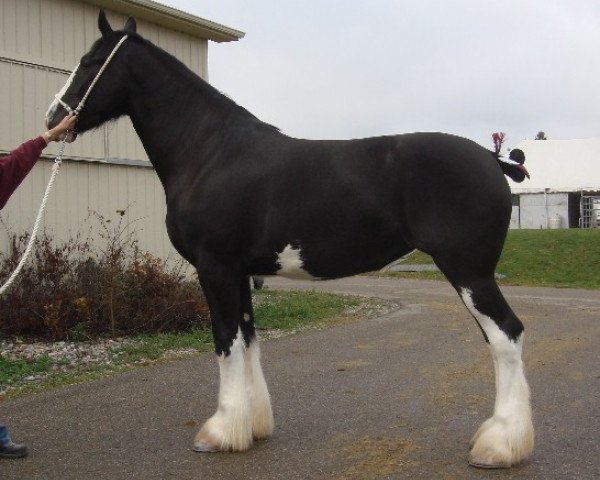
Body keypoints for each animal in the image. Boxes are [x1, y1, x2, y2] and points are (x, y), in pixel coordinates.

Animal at [47, 12, 536, 468]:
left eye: (90, 62)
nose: (53, 118)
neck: (210, 152)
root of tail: (492, 159)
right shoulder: (240, 273)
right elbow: (248, 338)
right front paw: (252, 425)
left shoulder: (215, 267)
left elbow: (225, 341)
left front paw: (220, 431)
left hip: (469, 271)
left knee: (506, 336)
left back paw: (498, 445)